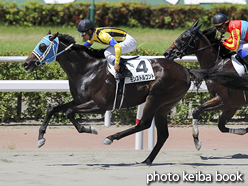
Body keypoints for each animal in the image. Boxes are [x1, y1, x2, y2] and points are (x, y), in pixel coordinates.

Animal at [22, 30, 209, 166]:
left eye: (42, 46)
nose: (26, 63)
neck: (87, 68)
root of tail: (185, 70)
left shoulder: (100, 105)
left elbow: (68, 112)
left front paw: (89, 129)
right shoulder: (80, 100)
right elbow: (52, 109)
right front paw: (41, 138)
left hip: (155, 98)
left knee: (144, 124)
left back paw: (111, 138)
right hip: (165, 105)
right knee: (163, 134)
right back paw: (147, 160)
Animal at [163, 21, 248, 150]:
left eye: (184, 37)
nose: (167, 53)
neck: (217, 67)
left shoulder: (223, 100)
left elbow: (196, 110)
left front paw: (196, 141)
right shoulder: (233, 104)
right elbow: (221, 127)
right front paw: (244, 130)